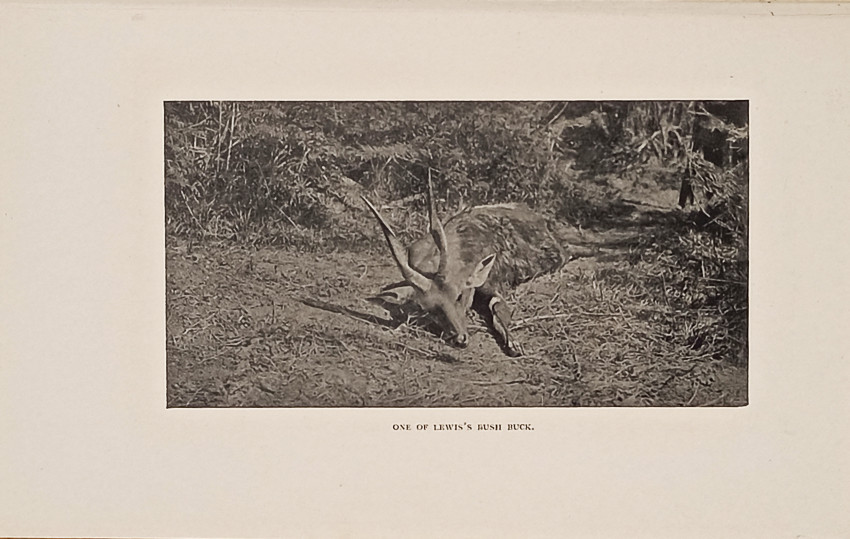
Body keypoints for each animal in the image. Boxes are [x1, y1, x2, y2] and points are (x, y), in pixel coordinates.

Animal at [362, 174, 581, 357]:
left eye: (459, 295)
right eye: (430, 309)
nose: (460, 339)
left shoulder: (493, 283)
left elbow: (497, 307)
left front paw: (513, 344)